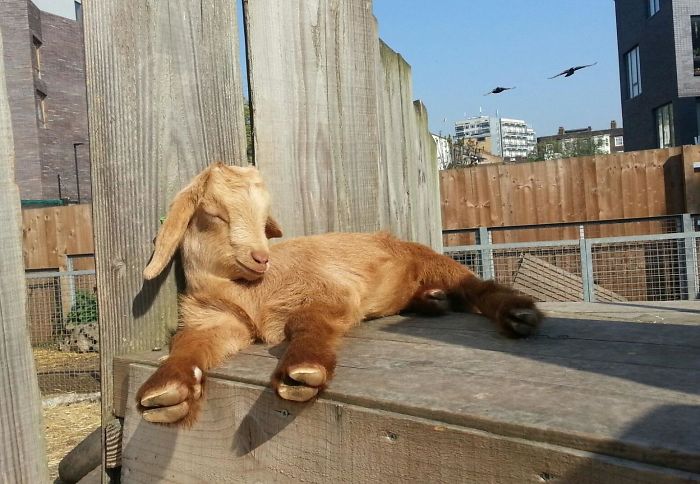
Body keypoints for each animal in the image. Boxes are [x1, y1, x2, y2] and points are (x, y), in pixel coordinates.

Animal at [136, 162, 542, 425]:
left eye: (264, 219)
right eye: (216, 215)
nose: (261, 258)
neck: (247, 293)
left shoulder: (328, 292)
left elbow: (307, 322)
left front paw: (303, 369)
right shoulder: (213, 320)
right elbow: (187, 345)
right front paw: (166, 390)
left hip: (431, 259)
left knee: (478, 288)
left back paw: (517, 314)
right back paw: (432, 302)